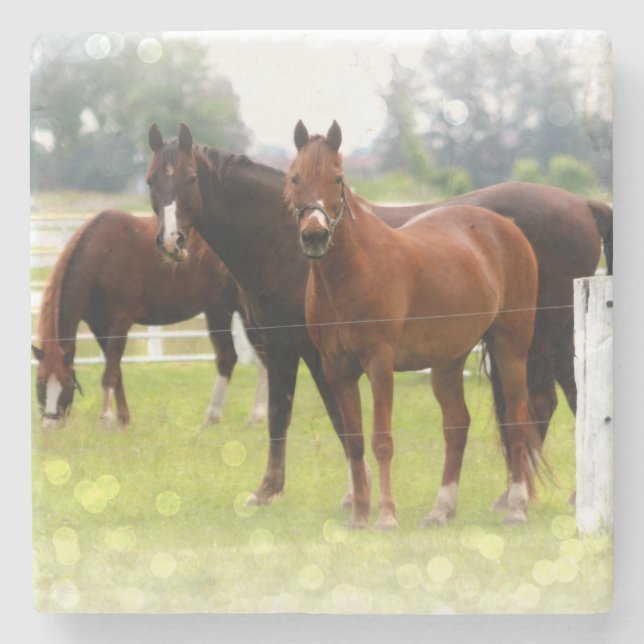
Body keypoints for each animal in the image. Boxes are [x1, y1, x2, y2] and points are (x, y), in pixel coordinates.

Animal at [31, 210, 268, 430]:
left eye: (67, 385)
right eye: (40, 384)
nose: (49, 428)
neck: (102, 256)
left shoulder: (120, 323)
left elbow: (110, 374)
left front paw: (106, 421)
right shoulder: (99, 327)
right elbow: (116, 372)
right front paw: (124, 420)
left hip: (246, 311)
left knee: (262, 356)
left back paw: (256, 417)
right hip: (218, 311)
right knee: (228, 358)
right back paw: (211, 420)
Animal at [286, 120, 542, 528]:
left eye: (337, 178)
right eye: (295, 177)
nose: (314, 235)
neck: (352, 274)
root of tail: (508, 228)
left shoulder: (379, 364)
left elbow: (382, 441)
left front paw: (386, 516)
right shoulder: (336, 369)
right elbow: (354, 441)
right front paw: (358, 515)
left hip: (509, 346)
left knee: (516, 418)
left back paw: (516, 507)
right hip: (449, 360)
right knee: (456, 424)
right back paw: (441, 509)